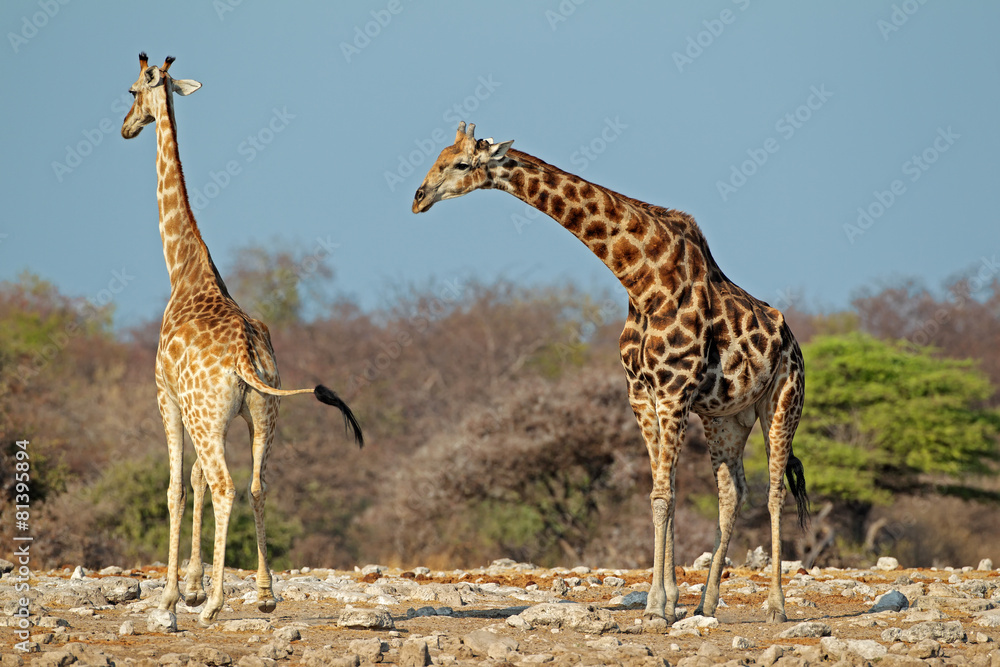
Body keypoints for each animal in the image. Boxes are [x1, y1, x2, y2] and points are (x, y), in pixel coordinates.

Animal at [121, 53, 364, 627]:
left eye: (131, 91)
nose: (125, 127)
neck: (185, 270)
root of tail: (245, 356)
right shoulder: (218, 415)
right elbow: (195, 483)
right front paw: (193, 585)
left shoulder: (166, 397)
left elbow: (176, 489)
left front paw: (173, 596)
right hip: (262, 414)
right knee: (255, 484)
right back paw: (265, 594)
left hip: (210, 416)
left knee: (227, 486)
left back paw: (213, 606)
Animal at [413, 122, 808, 625]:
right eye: (437, 158)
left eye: (461, 164)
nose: (419, 197)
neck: (642, 280)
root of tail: (793, 342)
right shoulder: (642, 396)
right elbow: (664, 492)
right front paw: (668, 602)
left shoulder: (673, 393)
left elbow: (663, 496)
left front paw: (657, 608)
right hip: (725, 418)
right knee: (733, 491)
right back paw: (707, 602)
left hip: (782, 402)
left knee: (775, 490)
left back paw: (775, 606)